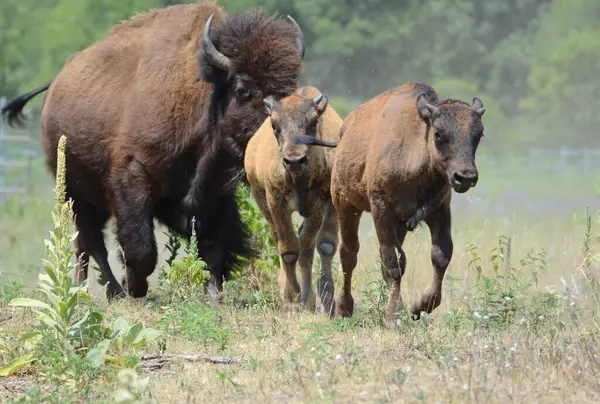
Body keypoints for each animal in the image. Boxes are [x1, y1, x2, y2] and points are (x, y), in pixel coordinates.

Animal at [1, 2, 304, 300]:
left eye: (292, 89)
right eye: (242, 89)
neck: (205, 99)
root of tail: (56, 83)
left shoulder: (215, 196)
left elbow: (214, 246)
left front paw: (214, 294)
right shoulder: (132, 178)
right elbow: (142, 248)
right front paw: (135, 287)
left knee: (85, 244)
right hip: (74, 193)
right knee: (91, 243)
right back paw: (107, 290)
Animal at [241, 87, 340, 318]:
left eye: (313, 122)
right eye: (274, 126)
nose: (294, 160)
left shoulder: (324, 204)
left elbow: (323, 244)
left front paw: (326, 301)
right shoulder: (276, 202)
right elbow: (288, 250)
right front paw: (291, 301)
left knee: (309, 246)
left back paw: (310, 299)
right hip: (262, 201)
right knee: (282, 240)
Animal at [330, 82, 486, 328]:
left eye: (478, 134)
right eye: (439, 134)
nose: (465, 177)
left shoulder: (439, 210)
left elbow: (441, 255)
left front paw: (418, 308)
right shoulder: (381, 211)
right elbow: (391, 263)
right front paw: (395, 316)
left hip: (399, 224)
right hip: (345, 206)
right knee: (349, 254)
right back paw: (344, 309)